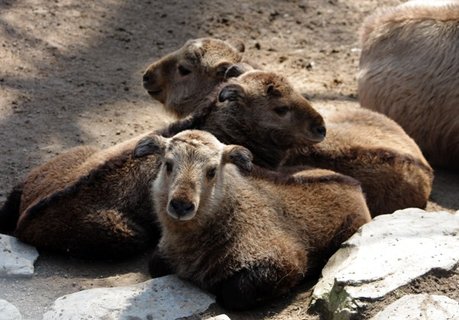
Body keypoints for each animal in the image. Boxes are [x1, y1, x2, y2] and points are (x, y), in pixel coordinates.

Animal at [135, 129, 372, 310]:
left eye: (212, 171)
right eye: (168, 164)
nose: (181, 205)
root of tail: (356, 185)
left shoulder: (287, 262)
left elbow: (233, 293)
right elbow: (155, 265)